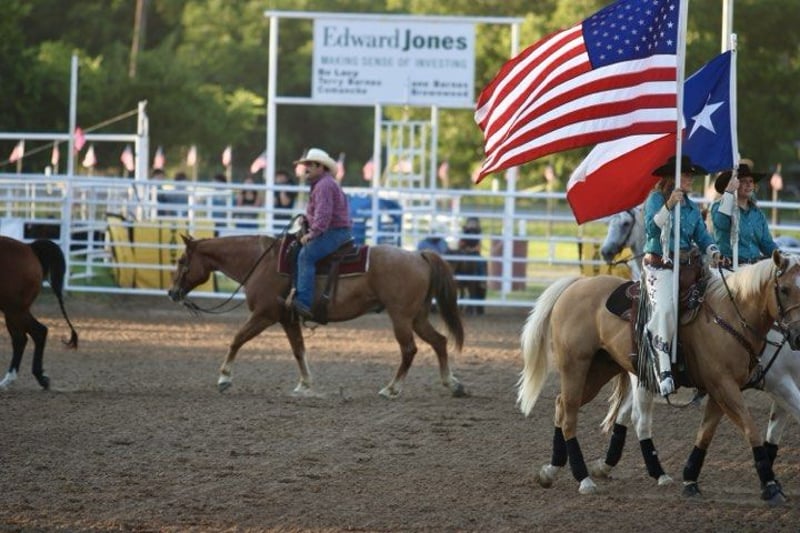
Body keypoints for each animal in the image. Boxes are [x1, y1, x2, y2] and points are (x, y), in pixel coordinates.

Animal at [167, 234, 466, 398]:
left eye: (181, 261)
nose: (172, 292)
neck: (261, 262)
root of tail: (419, 255)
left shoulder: (264, 315)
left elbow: (237, 339)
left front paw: (224, 378)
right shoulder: (287, 319)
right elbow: (299, 350)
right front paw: (305, 384)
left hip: (401, 317)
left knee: (409, 350)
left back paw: (391, 389)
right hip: (417, 317)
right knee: (439, 341)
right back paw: (452, 384)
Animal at [518, 251, 800, 504]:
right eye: (785, 289)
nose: (797, 336)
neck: (729, 315)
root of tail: (576, 285)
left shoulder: (722, 390)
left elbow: (705, 434)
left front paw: (690, 480)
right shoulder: (730, 386)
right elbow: (752, 430)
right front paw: (770, 485)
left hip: (599, 371)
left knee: (562, 406)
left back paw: (551, 471)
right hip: (576, 367)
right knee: (572, 416)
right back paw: (584, 479)